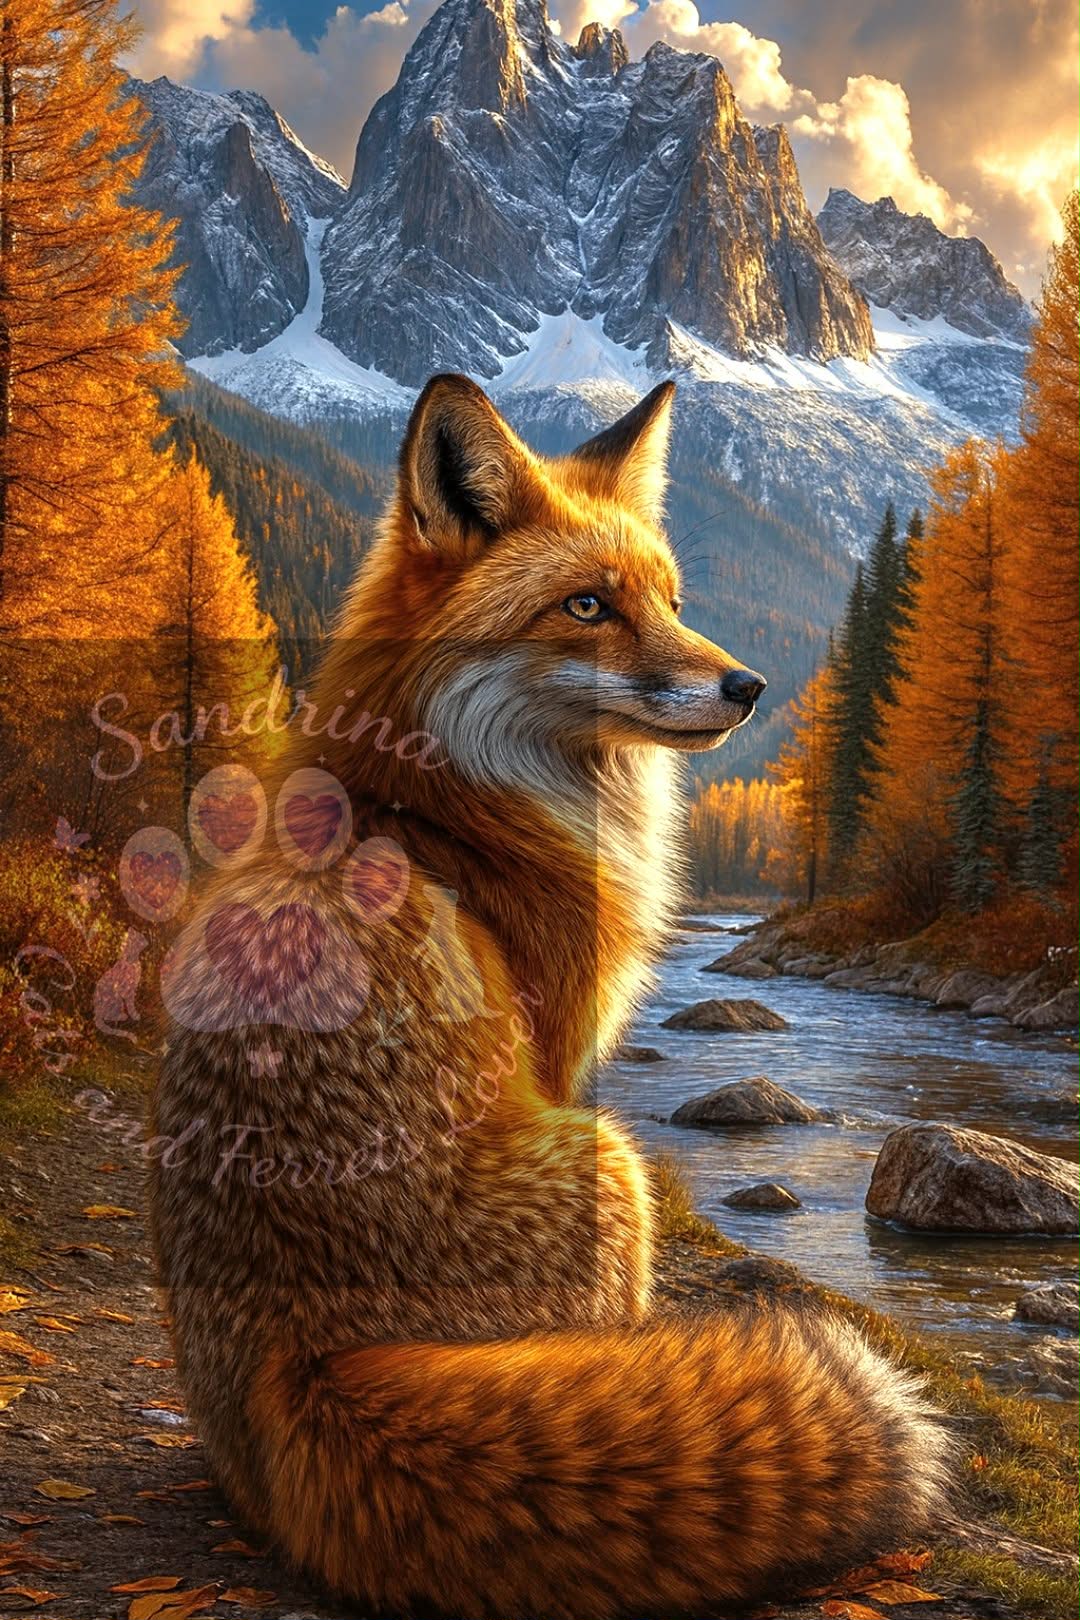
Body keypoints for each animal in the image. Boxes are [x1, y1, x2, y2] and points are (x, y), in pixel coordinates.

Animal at [150, 374, 948, 1619]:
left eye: (670, 599)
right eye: (586, 606)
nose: (748, 687)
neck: (447, 805)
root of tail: (309, 1364)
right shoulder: (565, 1053)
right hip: (607, 1160)